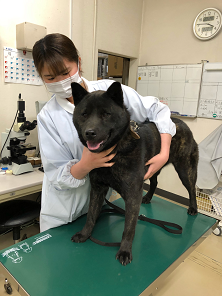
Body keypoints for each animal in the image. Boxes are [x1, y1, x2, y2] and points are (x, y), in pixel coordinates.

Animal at [70, 81, 198, 266]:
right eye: (84, 114)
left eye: (106, 114)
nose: (90, 133)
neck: (115, 151)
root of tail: (182, 123)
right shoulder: (97, 189)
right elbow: (91, 215)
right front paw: (85, 234)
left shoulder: (132, 195)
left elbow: (129, 228)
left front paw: (124, 251)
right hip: (153, 168)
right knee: (155, 183)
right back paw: (148, 197)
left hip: (184, 169)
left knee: (192, 188)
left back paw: (193, 208)